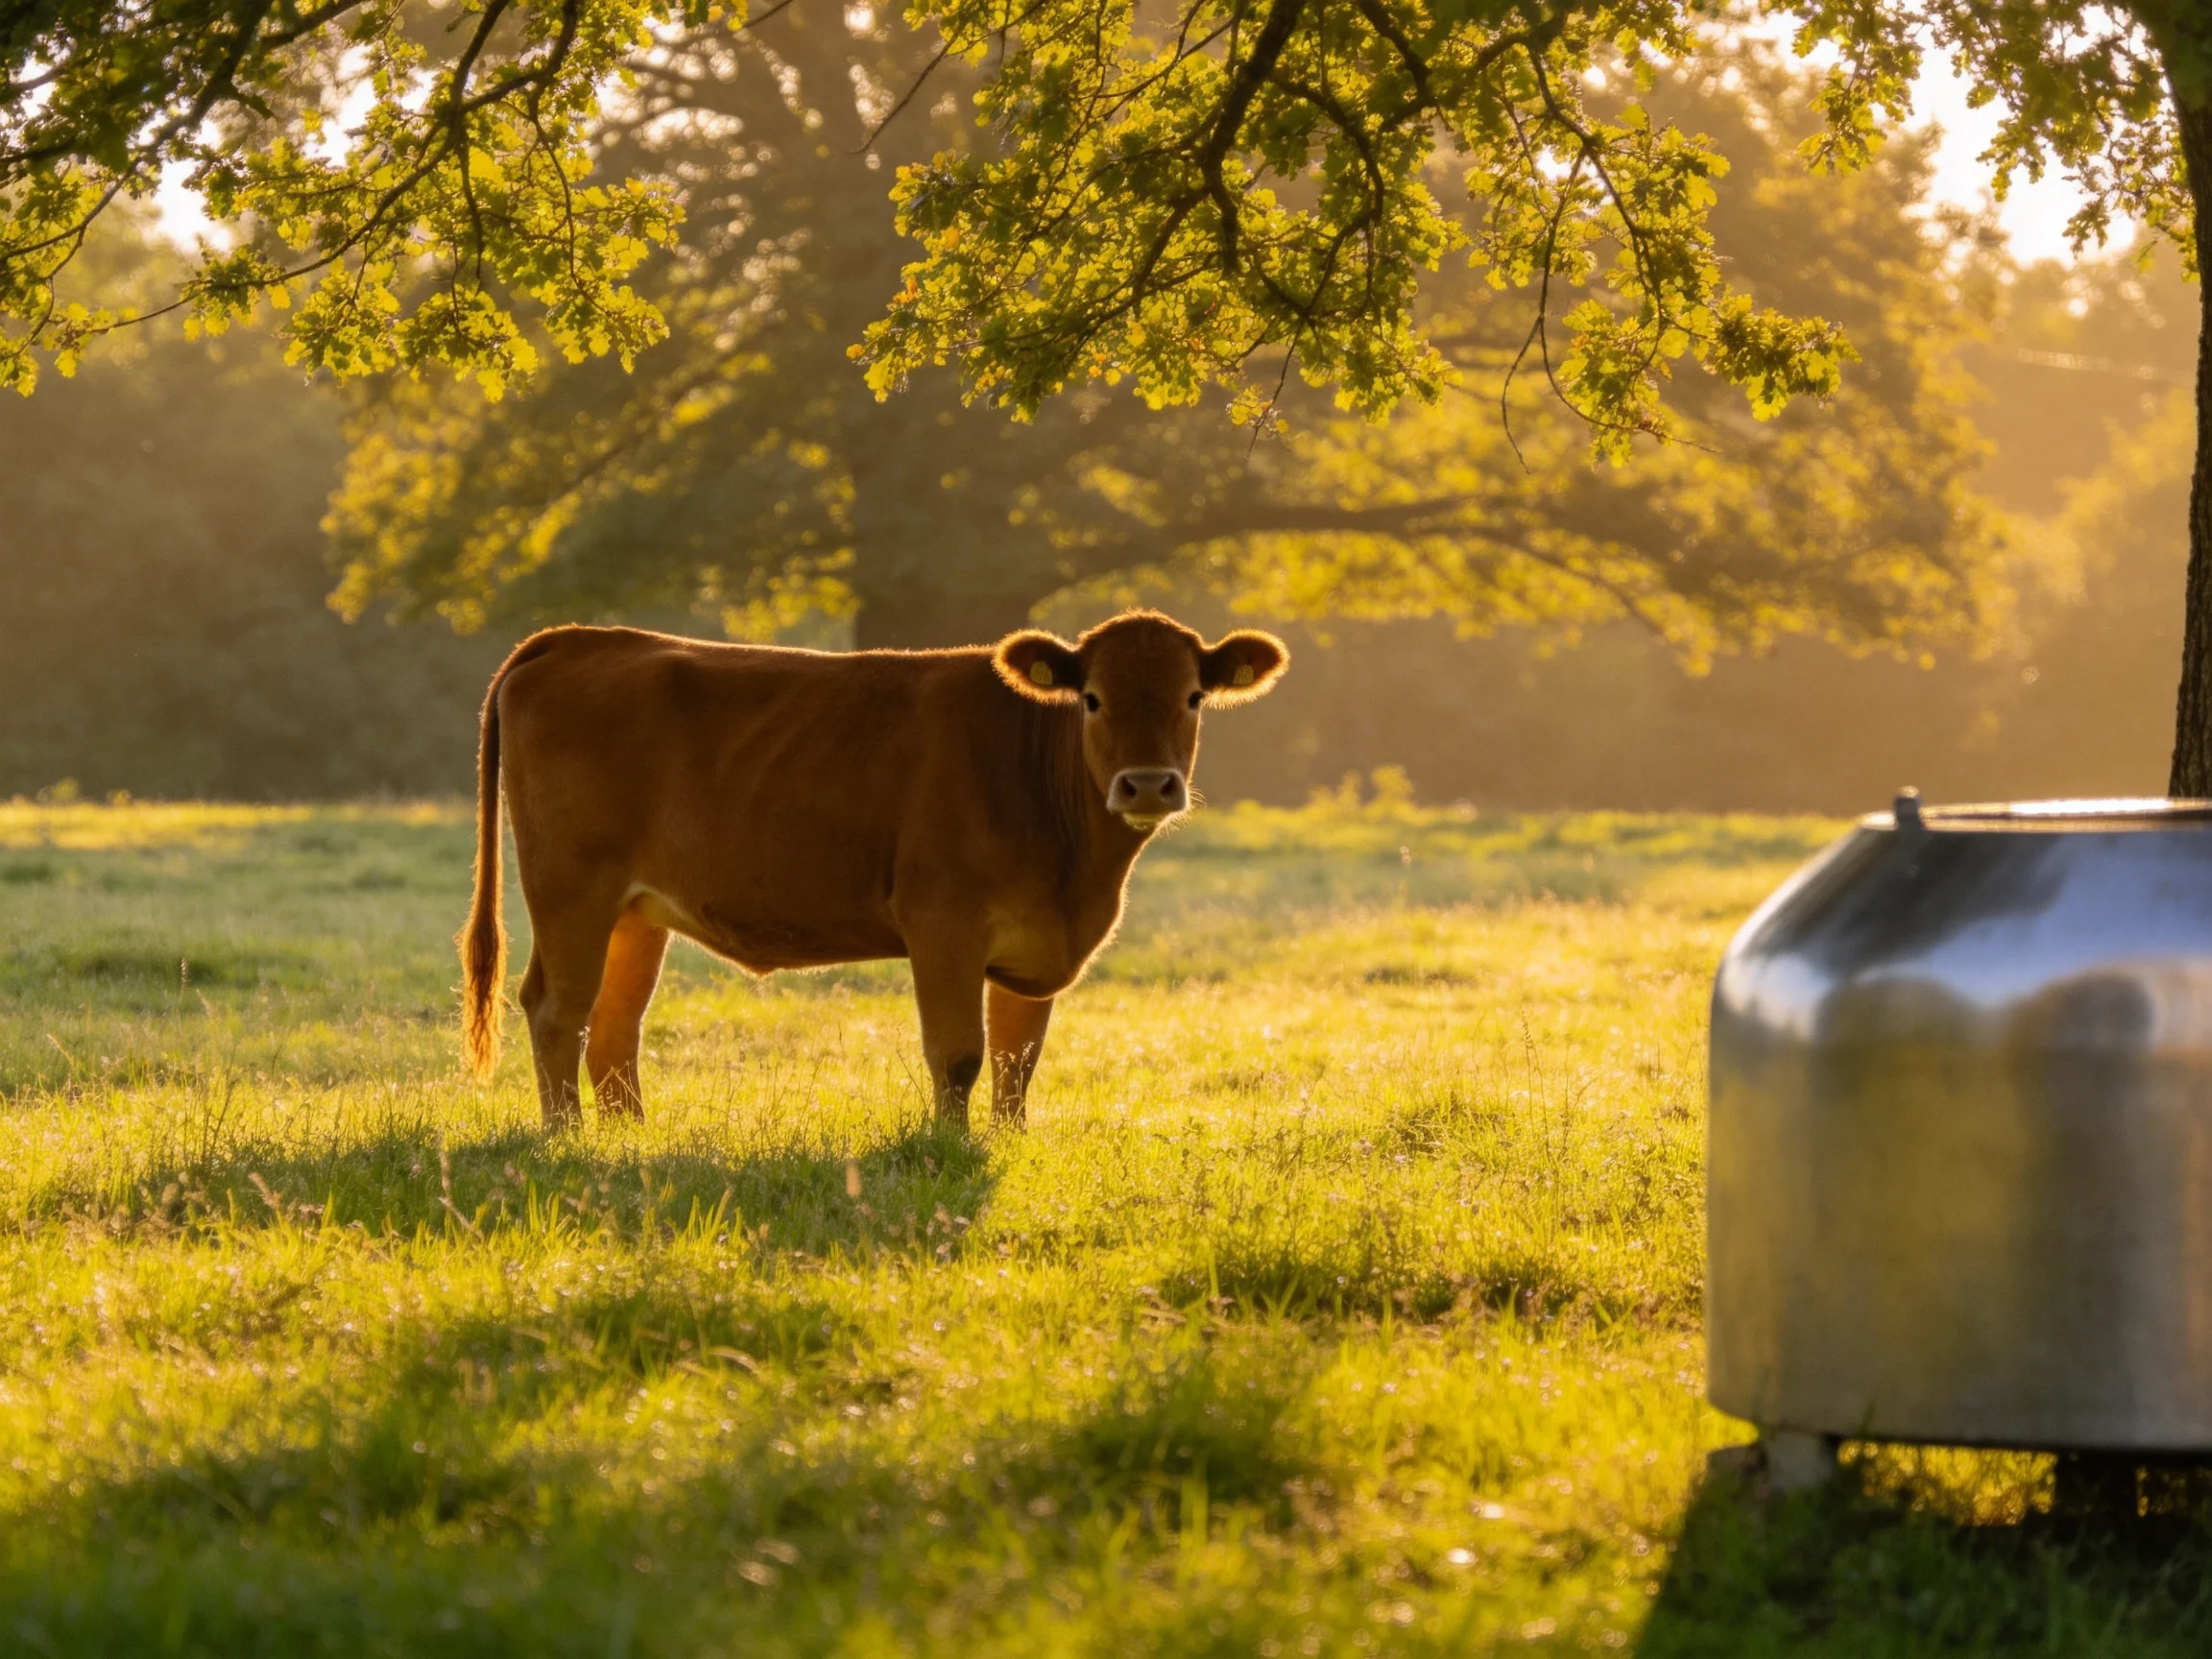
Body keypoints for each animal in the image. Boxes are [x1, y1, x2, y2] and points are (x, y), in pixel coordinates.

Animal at [459, 610, 1289, 1128]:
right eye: (1091, 698)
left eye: (1193, 696)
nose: (1147, 786)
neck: (1077, 877)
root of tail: (581, 639)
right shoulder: (943, 925)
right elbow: (959, 1057)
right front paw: (951, 1147)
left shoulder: (1032, 944)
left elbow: (1019, 1060)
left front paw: (1009, 1142)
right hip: (571, 889)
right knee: (557, 1010)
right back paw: (568, 1138)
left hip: (636, 910)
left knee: (614, 1024)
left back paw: (630, 1138)